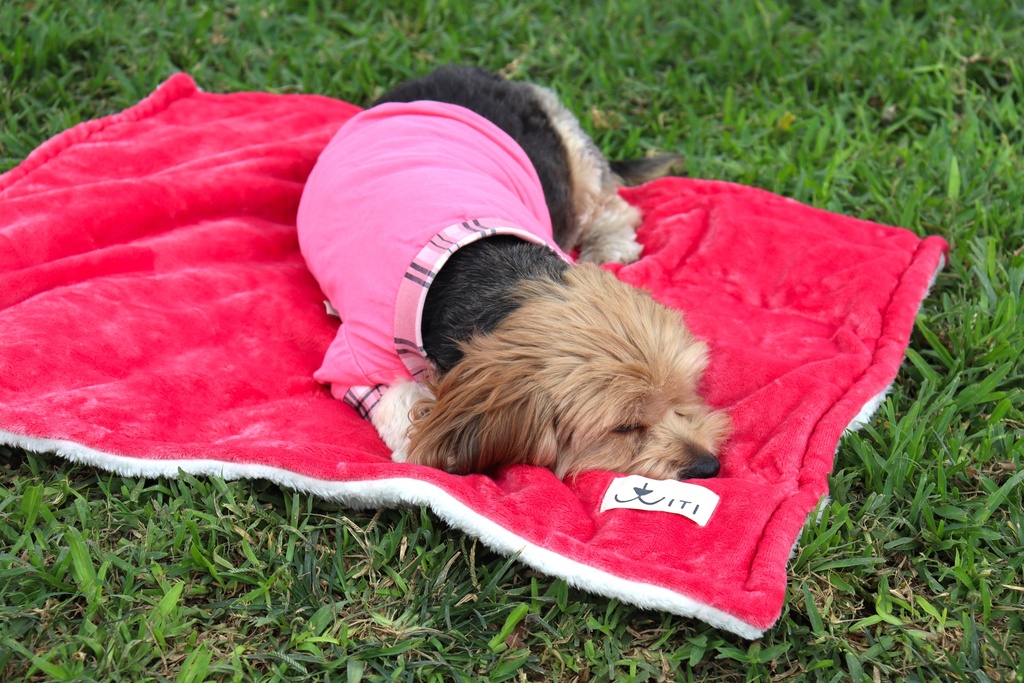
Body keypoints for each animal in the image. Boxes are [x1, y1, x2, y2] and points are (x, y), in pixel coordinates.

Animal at [296, 65, 729, 481]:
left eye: (684, 395)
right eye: (624, 428)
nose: (708, 466)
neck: (491, 274)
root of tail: (451, 71)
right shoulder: (354, 358)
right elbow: (399, 401)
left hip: (573, 155)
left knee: (613, 207)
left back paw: (611, 247)